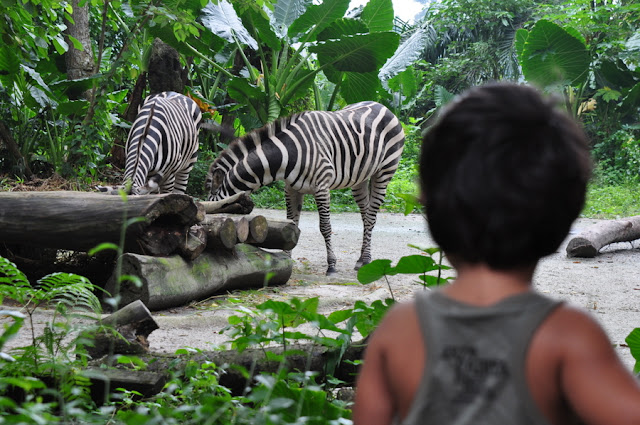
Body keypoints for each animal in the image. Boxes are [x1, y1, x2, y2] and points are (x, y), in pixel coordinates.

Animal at [206, 100, 404, 274]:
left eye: (220, 207)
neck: (288, 154)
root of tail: (381, 105)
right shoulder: (291, 189)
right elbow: (291, 223)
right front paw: (285, 259)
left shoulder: (322, 186)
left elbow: (325, 226)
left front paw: (331, 265)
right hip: (359, 178)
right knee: (366, 215)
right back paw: (362, 258)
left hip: (384, 172)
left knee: (371, 217)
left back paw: (366, 260)